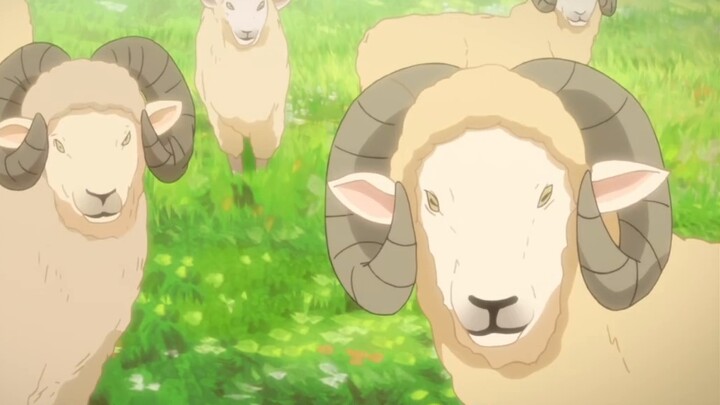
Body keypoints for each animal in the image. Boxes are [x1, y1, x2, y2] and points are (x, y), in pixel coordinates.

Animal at [195, 0, 292, 173]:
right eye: (229, 5)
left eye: (261, 5)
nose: (247, 31)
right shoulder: (220, 119)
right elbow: (233, 153)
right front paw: (238, 176)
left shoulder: (272, 117)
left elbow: (263, 151)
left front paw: (261, 177)